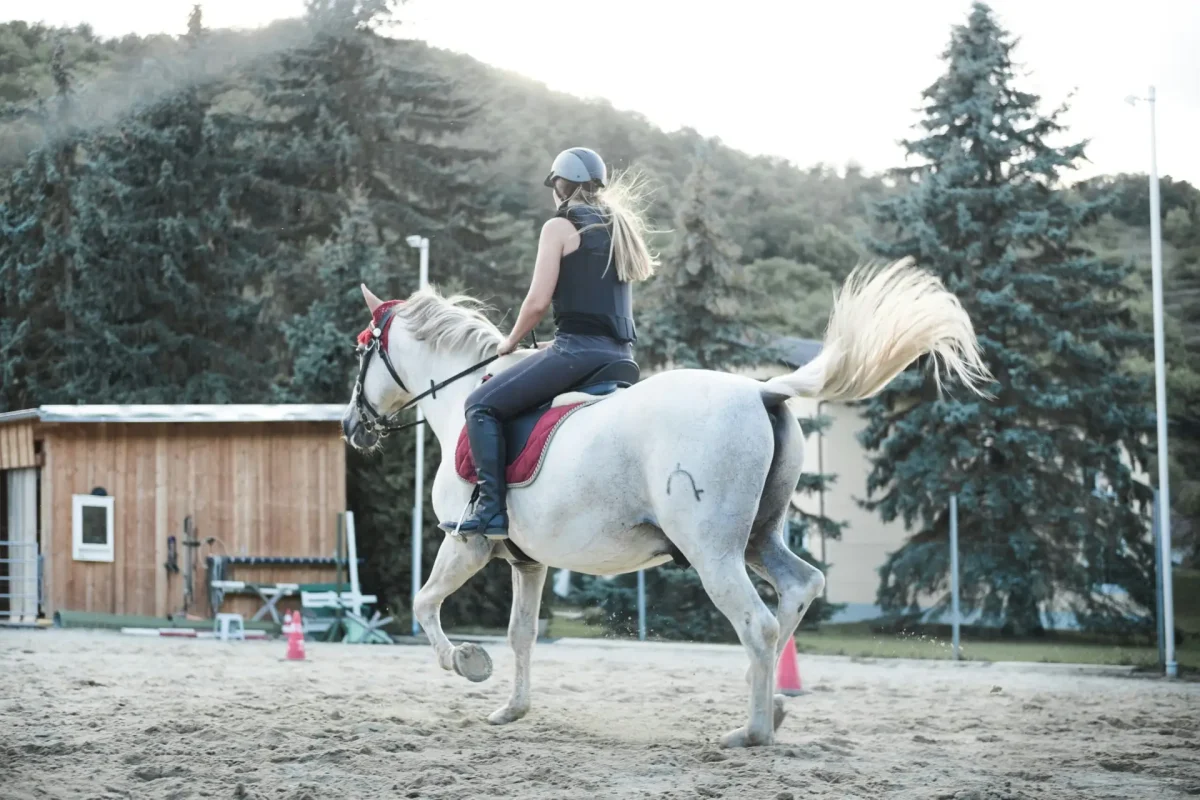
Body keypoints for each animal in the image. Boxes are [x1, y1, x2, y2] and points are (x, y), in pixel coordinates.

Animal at [340, 257, 991, 748]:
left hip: (713, 553)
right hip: (759, 539)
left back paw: (751, 732)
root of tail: (762, 389)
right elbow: (521, 634)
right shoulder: (529, 562)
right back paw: (772, 705)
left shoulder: (467, 541)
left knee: (757, 622)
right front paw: (512, 710)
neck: (460, 403)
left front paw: (467, 663)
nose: (352, 427)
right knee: (798, 589)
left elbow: (425, 604)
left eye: (361, 352)